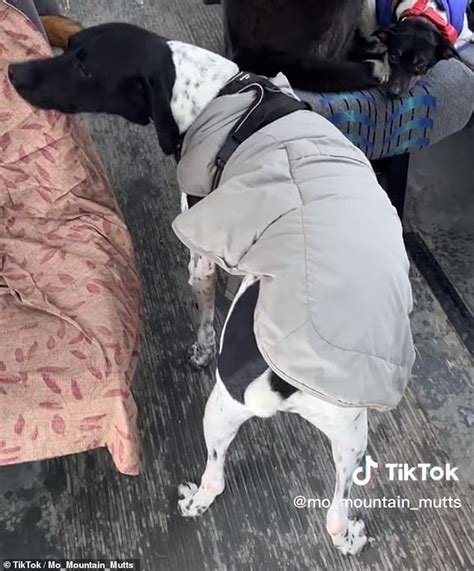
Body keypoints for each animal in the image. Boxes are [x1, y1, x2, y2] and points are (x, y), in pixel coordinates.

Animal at [9, 22, 388, 556]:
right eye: (68, 48)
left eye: (85, 66)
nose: (12, 71)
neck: (214, 92)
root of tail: (287, 379)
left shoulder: (201, 254)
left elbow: (206, 312)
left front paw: (203, 346)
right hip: (351, 437)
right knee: (335, 515)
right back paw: (348, 535)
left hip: (222, 408)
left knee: (216, 477)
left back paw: (196, 499)